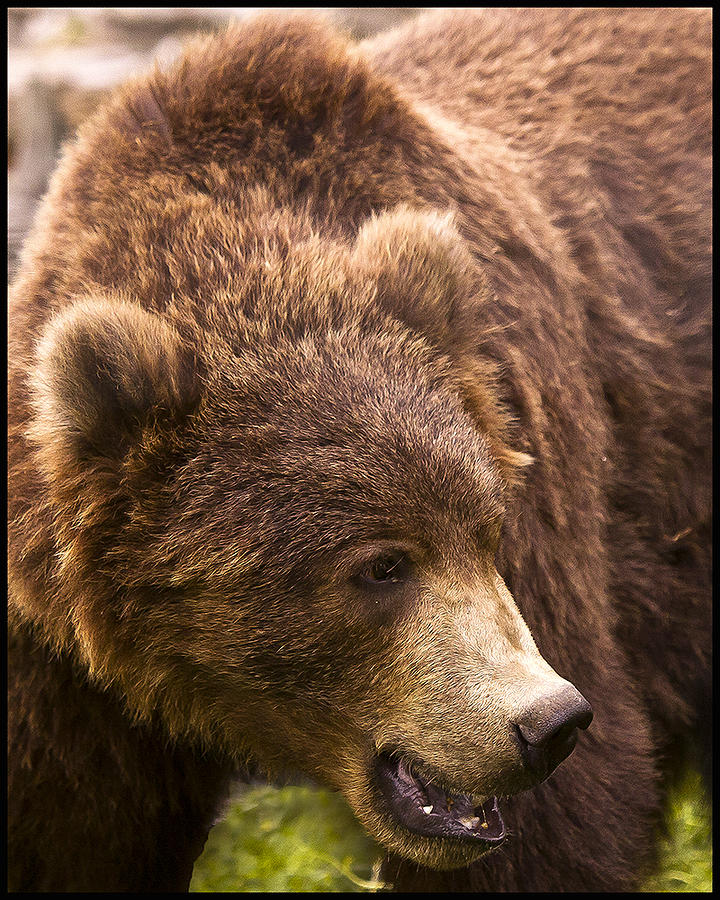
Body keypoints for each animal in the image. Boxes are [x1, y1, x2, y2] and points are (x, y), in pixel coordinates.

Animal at [8, 7, 712, 892]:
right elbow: (68, 836)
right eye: (382, 565)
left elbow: (549, 836)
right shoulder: (64, 671)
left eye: (488, 534)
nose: (546, 723)